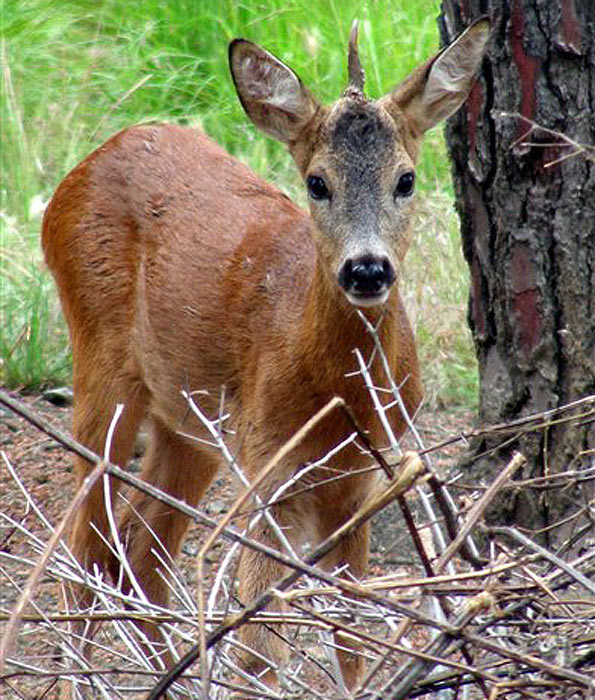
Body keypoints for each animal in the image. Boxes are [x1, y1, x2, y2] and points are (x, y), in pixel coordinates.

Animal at [40, 16, 488, 696]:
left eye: (406, 179)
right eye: (317, 182)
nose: (366, 269)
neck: (339, 395)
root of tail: (83, 167)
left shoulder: (366, 477)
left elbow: (351, 627)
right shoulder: (267, 465)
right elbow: (258, 646)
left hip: (190, 422)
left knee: (143, 552)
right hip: (101, 365)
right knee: (83, 547)